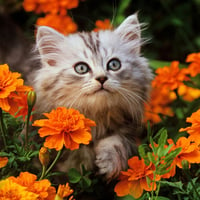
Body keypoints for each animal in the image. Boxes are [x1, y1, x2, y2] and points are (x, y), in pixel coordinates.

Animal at [30, 13, 152, 180]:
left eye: (114, 64)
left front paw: (110, 161)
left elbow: (117, 141)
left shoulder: (125, 129)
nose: (101, 78)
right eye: (81, 68)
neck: (96, 120)